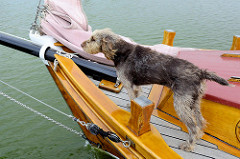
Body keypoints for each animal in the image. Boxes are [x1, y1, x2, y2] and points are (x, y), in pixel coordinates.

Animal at [81, 28, 230, 152]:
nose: (82, 45)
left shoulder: (130, 85)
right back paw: (198, 136)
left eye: (93, 39)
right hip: (194, 100)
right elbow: (136, 98)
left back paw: (188, 146)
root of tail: (199, 72)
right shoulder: (137, 86)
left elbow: (133, 98)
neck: (121, 52)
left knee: (193, 126)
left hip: (181, 103)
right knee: (200, 121)